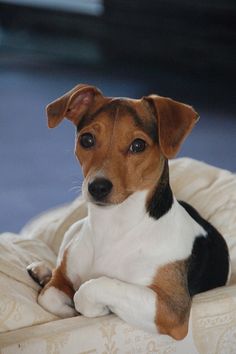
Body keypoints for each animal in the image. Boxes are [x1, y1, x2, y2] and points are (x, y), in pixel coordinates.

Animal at [26, 83, 230, 340]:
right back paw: (41, 271)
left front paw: (89, 308)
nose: (97, 187)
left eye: (138, 145)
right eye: (87, 140)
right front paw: (64, 300)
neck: (114, 226)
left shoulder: (170, 309)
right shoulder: (61, 279)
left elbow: (93, 287)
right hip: (73, 229)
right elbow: (49, 297)